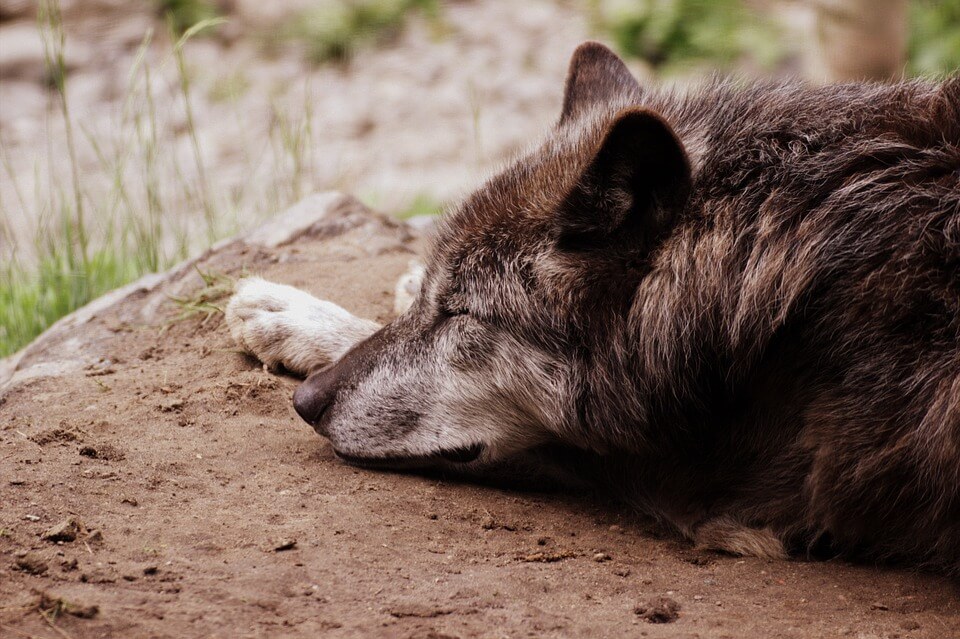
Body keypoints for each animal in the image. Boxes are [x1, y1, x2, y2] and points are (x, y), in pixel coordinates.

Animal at [227, 43, 960, 576]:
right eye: (442, 299)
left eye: (462, 315)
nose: (307, 403)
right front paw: (307, 310)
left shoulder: (714, 490)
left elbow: (547, 447)